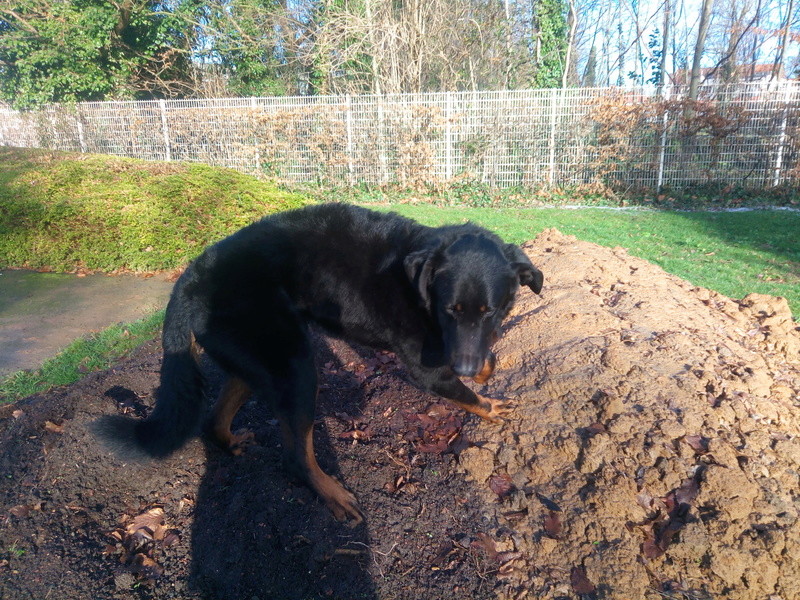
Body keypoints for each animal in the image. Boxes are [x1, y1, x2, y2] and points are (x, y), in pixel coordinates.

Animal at [97, 204, 540, 524]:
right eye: (451, 309)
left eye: (489, 310)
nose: (464, 367)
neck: (420, 284)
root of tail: (188, 279)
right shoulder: (426, 368)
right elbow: (464, 393)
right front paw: (489, 405)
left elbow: (484, 354)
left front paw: (485, 367)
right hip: (296, 367)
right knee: (296, 457)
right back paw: (333, 495)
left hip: (258, 361)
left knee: (214, 418)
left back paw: (229, 440)